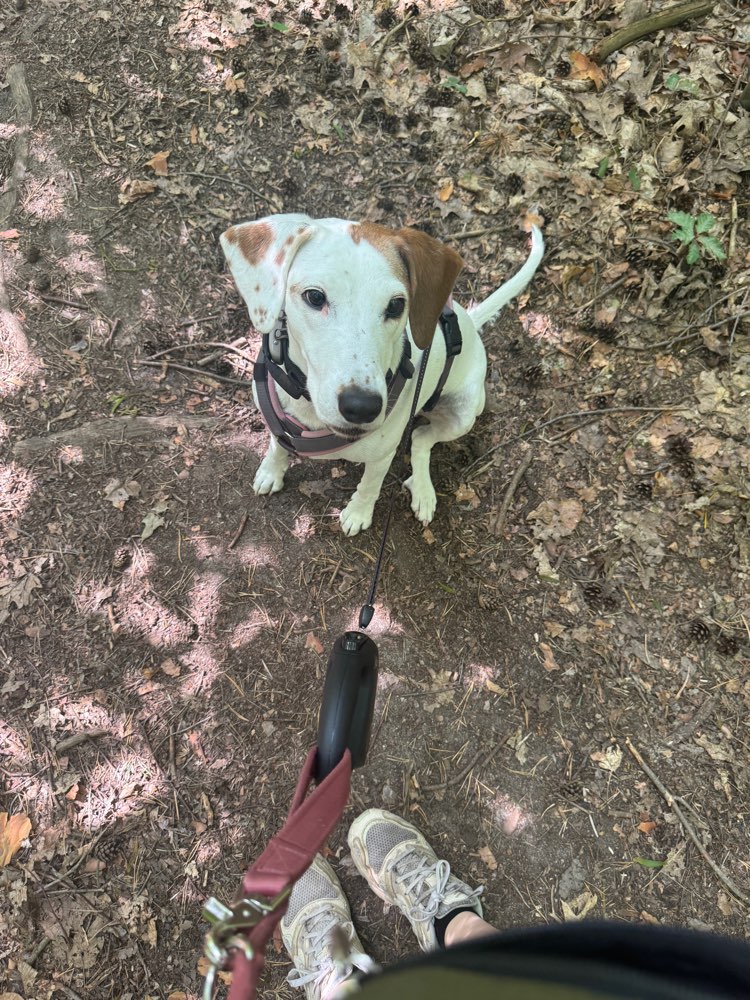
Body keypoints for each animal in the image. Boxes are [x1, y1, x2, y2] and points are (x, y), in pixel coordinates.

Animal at [220, 215, 544, 536]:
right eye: (314, 296)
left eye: (397, 305)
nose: (361, 407)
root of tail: (470, 324)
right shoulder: (275, 420)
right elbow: (277, 445)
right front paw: (271, 471)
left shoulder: (381, 456)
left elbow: (369, 486)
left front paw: (358, 513)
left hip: (464, 413)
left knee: (421, 437)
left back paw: (423, 490)